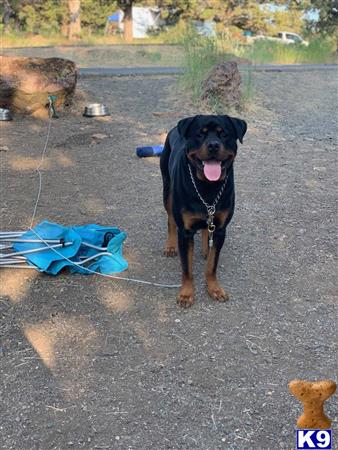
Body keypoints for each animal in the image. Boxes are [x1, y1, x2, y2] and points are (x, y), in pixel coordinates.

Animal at [160, 114, 247, 308]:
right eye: (200, 134)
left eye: (224, 134)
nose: (213, 144)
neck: (208, 187)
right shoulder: (185, 233)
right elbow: (187, 268)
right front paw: (186, 294)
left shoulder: (221, 229)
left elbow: (212, 265)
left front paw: (214, 288)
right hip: (167, 188)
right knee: (170, 219)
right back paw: (170, 245)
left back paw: (206, 247)